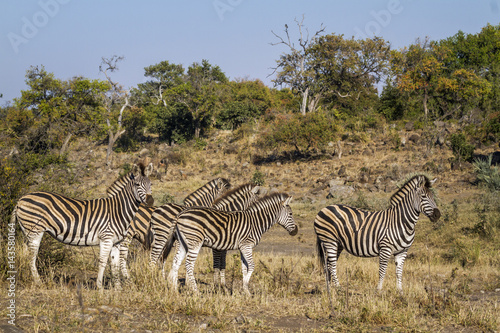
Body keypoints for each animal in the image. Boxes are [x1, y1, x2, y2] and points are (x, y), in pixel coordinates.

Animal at [13, 162, 154, 290]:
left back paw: (26, 277)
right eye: (137, 184)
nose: (150, 201)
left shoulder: (116, 242)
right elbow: (103, 262)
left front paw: (118, 289)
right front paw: (99, 287)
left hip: (27, 231)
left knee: (24, 253)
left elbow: (115, 264)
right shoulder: (106, 238)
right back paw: (38, 283)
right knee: (31, 256)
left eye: (150, 184)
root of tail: (20, 199)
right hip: (35, 231)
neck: (118, 210)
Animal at [170, 192, 298, 294]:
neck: (256, 222)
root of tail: (180, 214)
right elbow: (251, 265)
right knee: (189, 264)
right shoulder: (247, 245)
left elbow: (244, 267)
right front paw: (245, 289)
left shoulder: (242, 247)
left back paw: (174, 289)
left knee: (176, 262)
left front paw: (245, 290)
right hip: (195, 241)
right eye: (291, 214)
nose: (295, 231)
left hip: (183, 242)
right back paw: (196, 291)